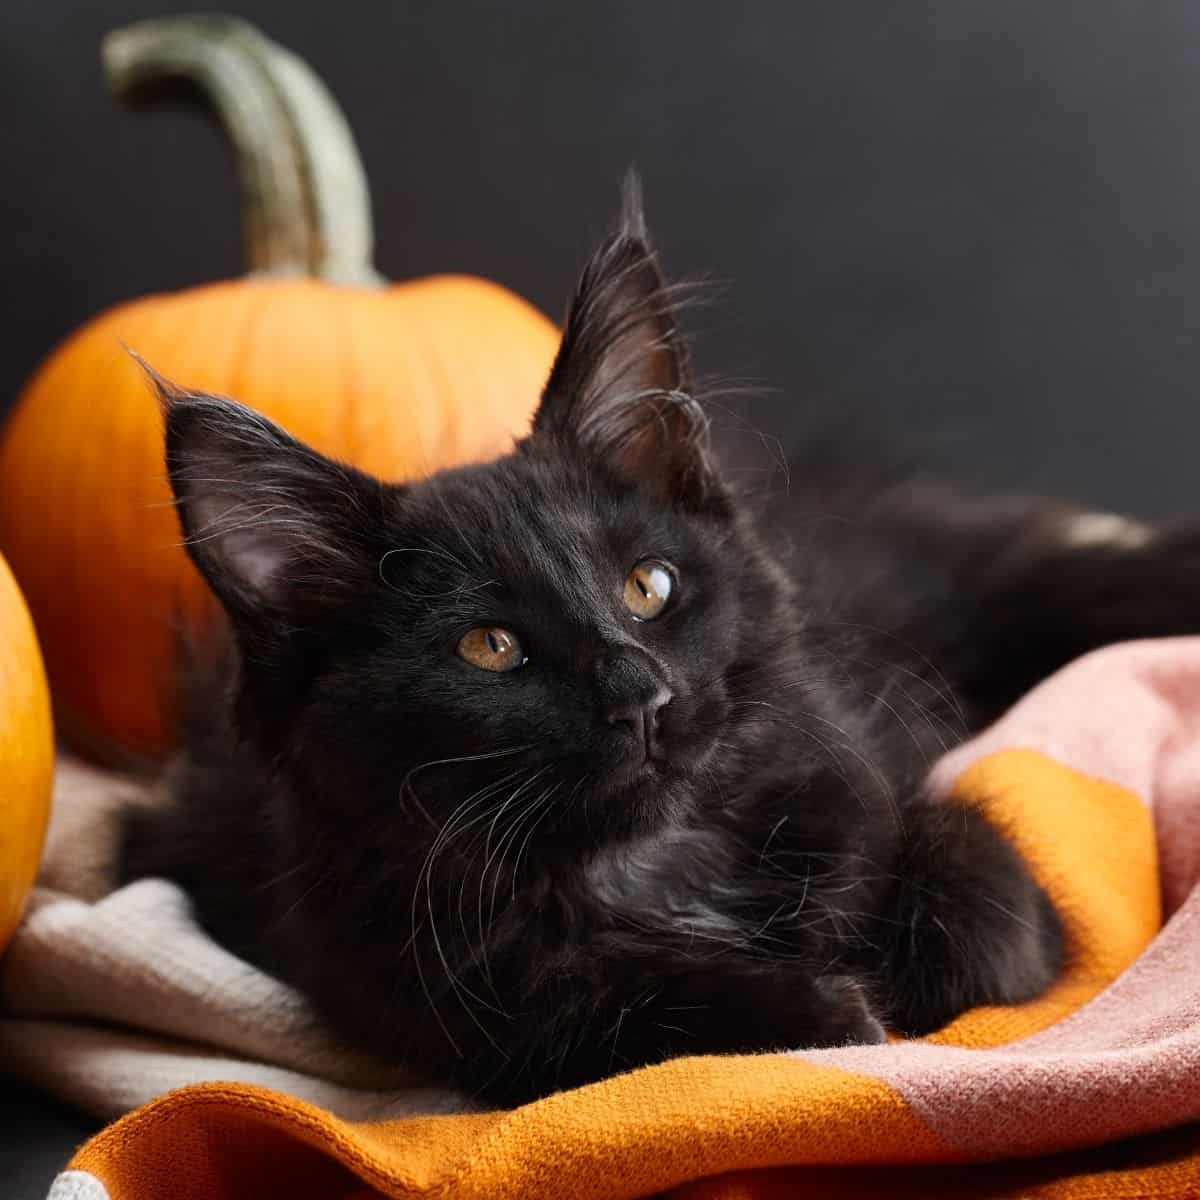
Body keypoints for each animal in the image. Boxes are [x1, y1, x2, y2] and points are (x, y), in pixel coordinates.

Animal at [121, 184, 1190, 1104]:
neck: (652, 858)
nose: (640, 695)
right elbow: (607, 1010)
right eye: (489, 647)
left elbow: (990, 908)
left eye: (648, 588)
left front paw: (905, 963)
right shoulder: (397, 971)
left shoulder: (863, 756)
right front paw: (820, 1003)